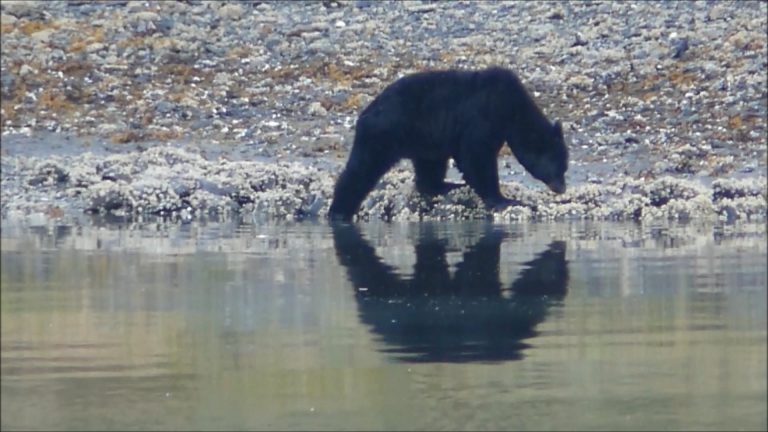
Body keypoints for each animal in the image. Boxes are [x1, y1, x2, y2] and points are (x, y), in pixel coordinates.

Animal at [328, 66, 568, 221]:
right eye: (560, 167)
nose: (562, 188)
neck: (512, 110)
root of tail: (364, 114)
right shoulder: (483, 116)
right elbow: (476, 157)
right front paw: (505, 200)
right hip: (383, 135)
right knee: (361, 171)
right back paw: (338, 211)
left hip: (425, 140)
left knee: (430, 167)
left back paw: (446, 185)